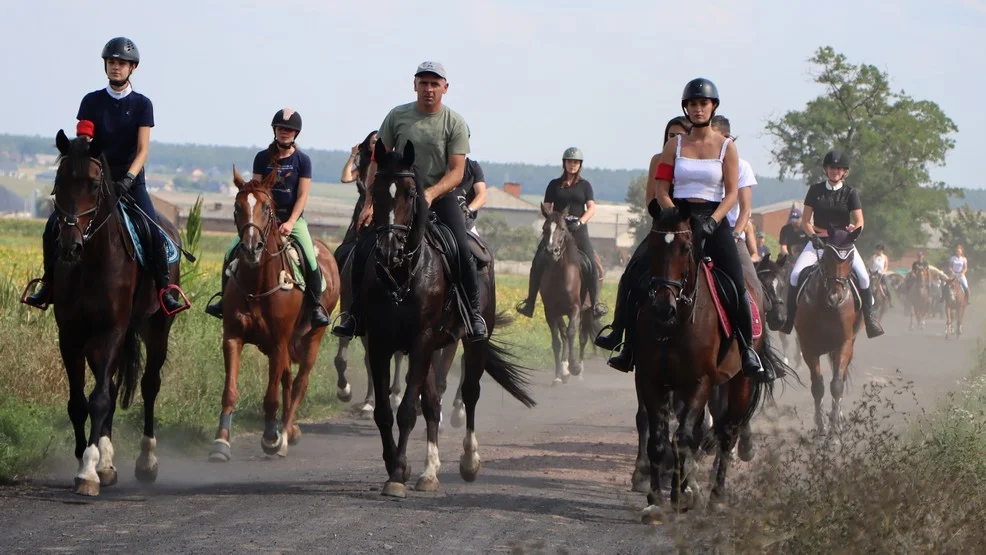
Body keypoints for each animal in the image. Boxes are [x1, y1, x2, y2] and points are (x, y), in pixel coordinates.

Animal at [209, 167, 342, 462]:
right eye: (237, 207)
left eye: (266, 208)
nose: (251, 248)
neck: (257, 285)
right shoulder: (233, 337)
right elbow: (229, 391)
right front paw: (221, 442)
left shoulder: (279, 342)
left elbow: (271, 396)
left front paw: (271, 437)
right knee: (288, 380)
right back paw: (288, 431)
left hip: (312, 338)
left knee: (300, 383)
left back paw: (284, 436)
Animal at [364, 140, 536, 500]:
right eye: (376, 190)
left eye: (410, 193)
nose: (388, 250)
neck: (404, 274)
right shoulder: (380, 342)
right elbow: (386, 412)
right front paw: (397, 466)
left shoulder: (421, 341)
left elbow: (406, 411)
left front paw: (397, 475)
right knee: (432, 402)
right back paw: (429, 472)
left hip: (471, 341)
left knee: (469, 393)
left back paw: (469, 462)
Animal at [540, 205, 600, 386]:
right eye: (544, 228)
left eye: (562, 228)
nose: (552, 251)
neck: (560, 275)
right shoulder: (551, 311)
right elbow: (558, 340)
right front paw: (559, 375)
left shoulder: (575, 308)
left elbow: (572, 332)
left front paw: (574, 367)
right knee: (565, 334)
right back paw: (564, 372)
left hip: (587, 312)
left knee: (582, 338)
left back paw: (578, 372)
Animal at [628, 200, 780, 516]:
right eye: (654, 246)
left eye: (686, 247)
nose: (663, 306)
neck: (676, 323)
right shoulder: (650, 378)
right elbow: (659, 437)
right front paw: (656, 500)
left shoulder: (701, 382)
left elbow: (684, 437)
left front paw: (679, 495)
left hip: (740, 381)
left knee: (727, 432)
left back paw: (716, 495)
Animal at [788, 226, 856, 434]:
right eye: (826, 255)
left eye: (851, 258)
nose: (836, 297)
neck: (827, 306)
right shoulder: (808, 347)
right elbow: (818, 386)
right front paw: (820, 425)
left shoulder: (844, 343)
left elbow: (837, 384)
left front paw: (835, 424)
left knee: (840, 375)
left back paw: (838, 416)